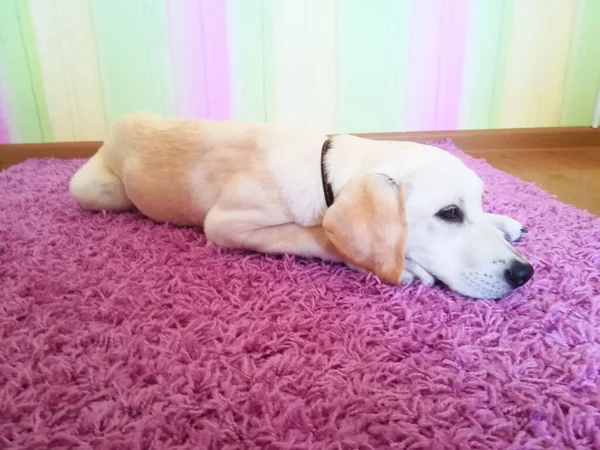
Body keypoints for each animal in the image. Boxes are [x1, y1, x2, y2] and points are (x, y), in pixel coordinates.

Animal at [68, 113, 532, 298]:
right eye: (448, 214)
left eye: (476, 204)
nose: (524, 274)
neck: (322, 167)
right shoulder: (226, 224)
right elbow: (315, 234)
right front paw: (404, 267)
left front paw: (502, 221)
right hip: (96, 189)